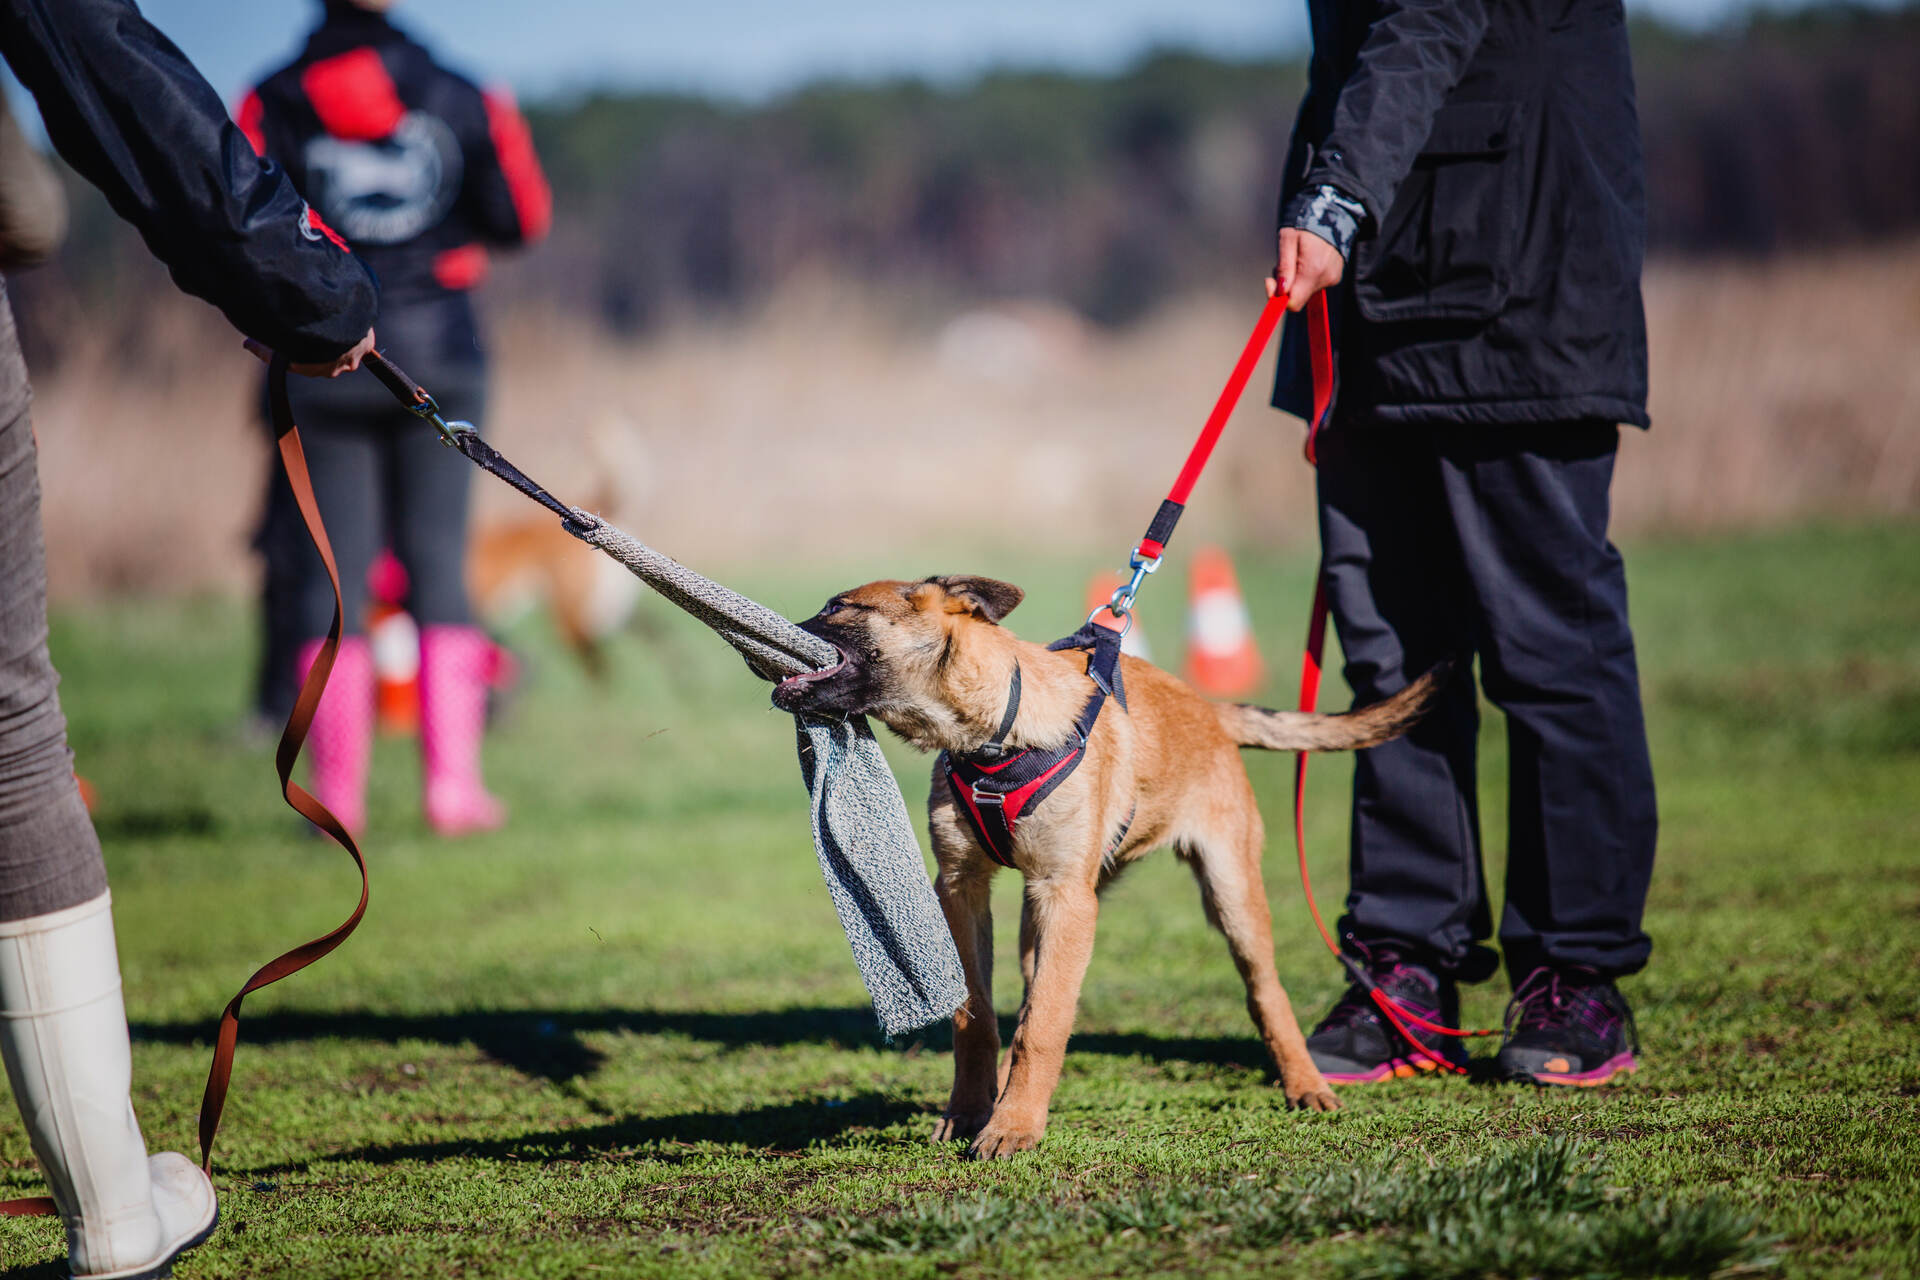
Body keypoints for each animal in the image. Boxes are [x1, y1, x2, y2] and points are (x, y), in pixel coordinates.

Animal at [771, 579, 1443, 1159]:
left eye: (840, 607)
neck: (995, 737)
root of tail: (1208, 710)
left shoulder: (1067, 895)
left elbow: (1042, 1025)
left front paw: (1013, 1127)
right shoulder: (963, 888)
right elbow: (978, 1017)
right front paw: (970, 1112)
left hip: (1229, 891)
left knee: (1265, 990)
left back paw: (1306, 1084)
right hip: (1042, 918)